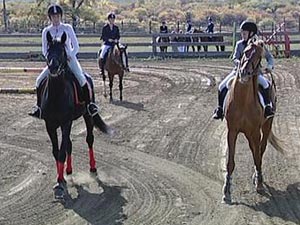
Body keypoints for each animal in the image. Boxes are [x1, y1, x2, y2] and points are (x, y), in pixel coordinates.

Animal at [41, 30, 112, 200]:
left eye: (62, 51)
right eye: (48, 50)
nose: (53, 67)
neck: (56, 95)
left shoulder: (65, 122)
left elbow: (61, 153)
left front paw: (60, 184)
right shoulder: (50, 125)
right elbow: (56, 152)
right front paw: (60, 180)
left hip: (87, 116)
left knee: (89, 140)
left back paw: (93, 169)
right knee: (69, 145)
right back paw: (68, 171)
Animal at [223, 38, 284, 204]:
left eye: (258, 56)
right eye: (245, 52)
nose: (244, 73)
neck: (243, 101)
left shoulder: (255, 132)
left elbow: (257, 156)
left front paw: (259, 182)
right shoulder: (232, 131)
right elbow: (230, 162)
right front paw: (227, 191)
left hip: (266, 126)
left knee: (260, 150)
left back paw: (258, 177)